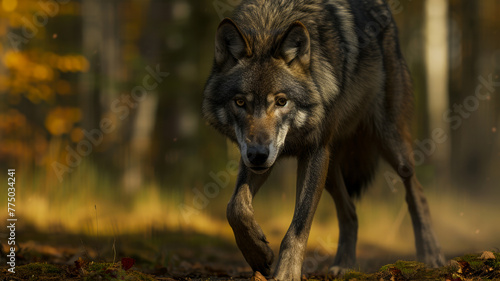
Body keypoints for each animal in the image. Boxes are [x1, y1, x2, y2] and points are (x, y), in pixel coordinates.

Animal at [201, 0, 444, 276]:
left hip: (390, 144)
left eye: (281, 101)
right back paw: (344, 265)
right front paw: (257, 253)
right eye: (240, 102)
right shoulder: (258, 156)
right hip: (330, 170)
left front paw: (286, 274)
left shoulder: (314, 151)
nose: (258, 155)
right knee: (350, 212)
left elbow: (298, 226)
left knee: (416, 191)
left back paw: (431, 253)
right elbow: (235, 207)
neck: (272, 21)